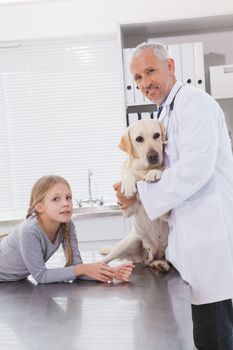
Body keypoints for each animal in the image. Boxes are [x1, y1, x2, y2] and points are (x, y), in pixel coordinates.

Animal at [98, 119, 169, 272]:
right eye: (139, 139)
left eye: (156, 135)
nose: (153, 156)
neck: (143, 171)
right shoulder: (128, 210)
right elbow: (127, 170)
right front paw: (129, 184)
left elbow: (162, 170)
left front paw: (154, 172)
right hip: (129, 242)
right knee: (107, 259)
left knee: (150, 261)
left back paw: (160, 263)